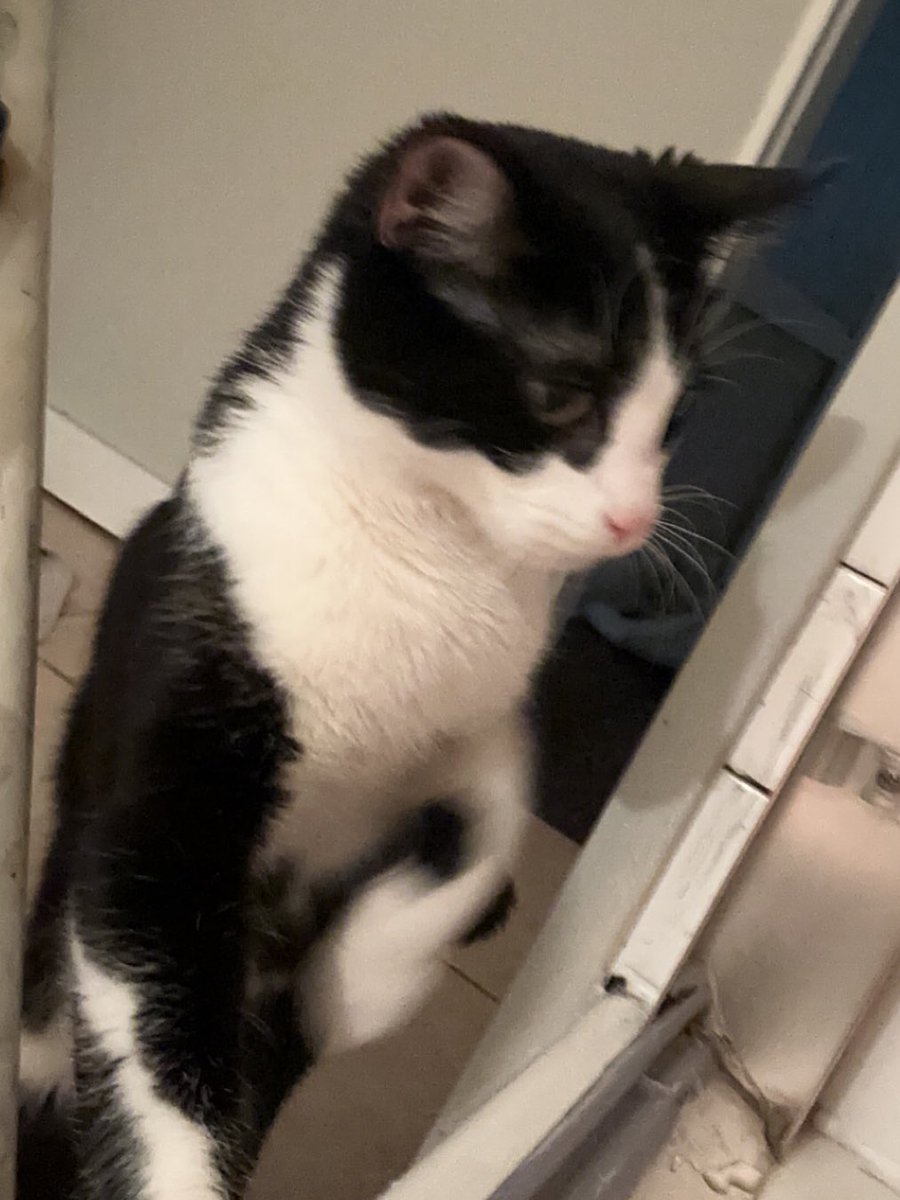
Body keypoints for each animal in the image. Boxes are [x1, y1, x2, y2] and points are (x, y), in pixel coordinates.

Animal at [18, 113, 810, 1199]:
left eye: (677, 416)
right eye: (562, 395)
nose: (635, 518)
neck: (429, 547)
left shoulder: (482, 716)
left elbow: (497, 814)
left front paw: (366, 973)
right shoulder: (173, 749)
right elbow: (155, 996)